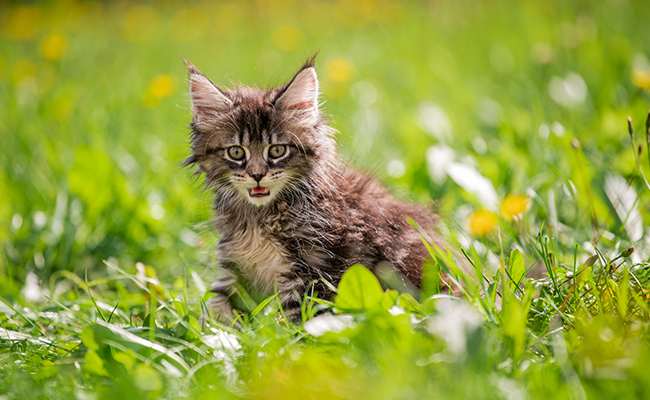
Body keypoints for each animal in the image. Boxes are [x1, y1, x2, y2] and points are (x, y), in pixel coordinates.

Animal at [184, 56, 436, 320]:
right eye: (236, 152)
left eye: (277, 150)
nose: (257, 175)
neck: (259, 217)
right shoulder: (234, 269)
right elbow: (215, 314)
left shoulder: (313, 272)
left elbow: (303, 323)